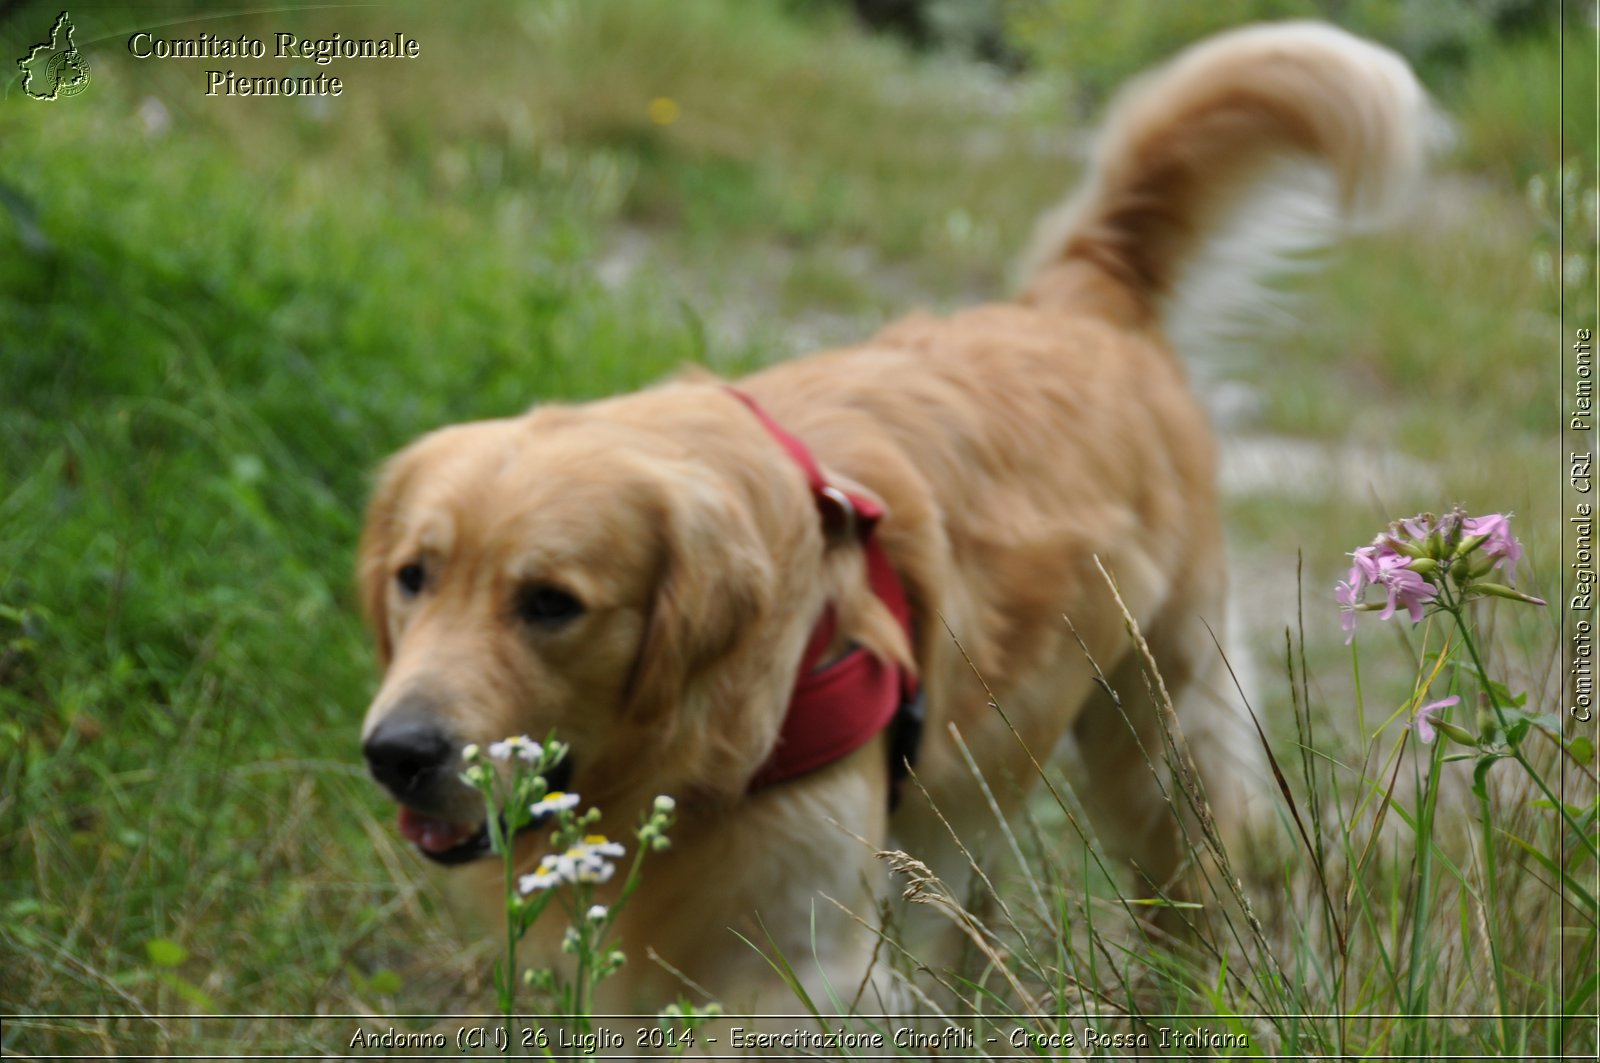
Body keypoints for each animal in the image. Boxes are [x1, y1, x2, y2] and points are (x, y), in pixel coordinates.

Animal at [356, 24, 1433, 1018]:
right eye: (414, 578)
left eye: (550, 603)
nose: (395, 753)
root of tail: (1080, 300)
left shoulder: (790, 960)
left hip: (1160, 736)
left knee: (1199, 886)